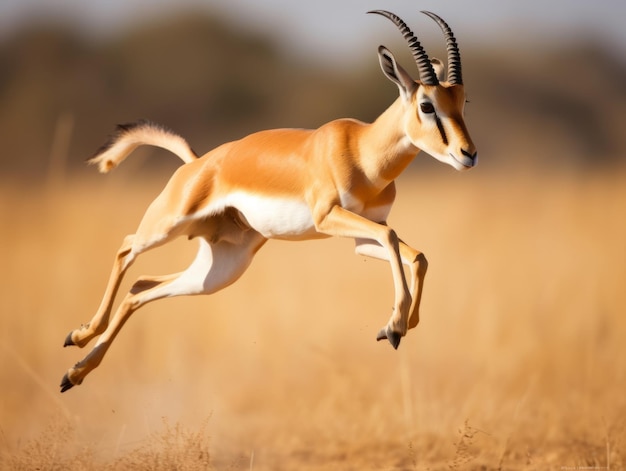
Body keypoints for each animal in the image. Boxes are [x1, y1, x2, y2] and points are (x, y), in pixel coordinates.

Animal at [61, 11, 476, 394]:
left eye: (462, 102)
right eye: (427, 105)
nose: (468, 154)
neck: (361, 152)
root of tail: (197, 161)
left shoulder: (362, 237)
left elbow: (417, 256)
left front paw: (402, 325)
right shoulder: (329, 217)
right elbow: (392, 240)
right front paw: (394, 327)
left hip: (219, 269)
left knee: (140, 289)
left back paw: (74, 372)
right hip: (166, 226)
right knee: (126, 248)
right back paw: (79, 336)